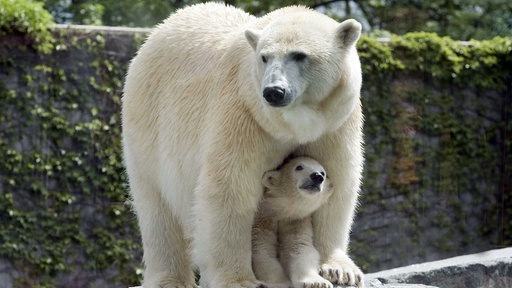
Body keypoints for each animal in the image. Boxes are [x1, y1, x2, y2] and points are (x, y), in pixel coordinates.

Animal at [123, 2, 364, 288]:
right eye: (264, 57)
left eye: (300, 55)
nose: (274, 91)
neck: (291, 124)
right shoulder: (243, 116)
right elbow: (230, 189)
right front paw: (238, 280)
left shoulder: (335, 125)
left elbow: (339, 184)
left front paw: (340, 270)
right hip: (149, 125)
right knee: (156, 206)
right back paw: (169, 279)